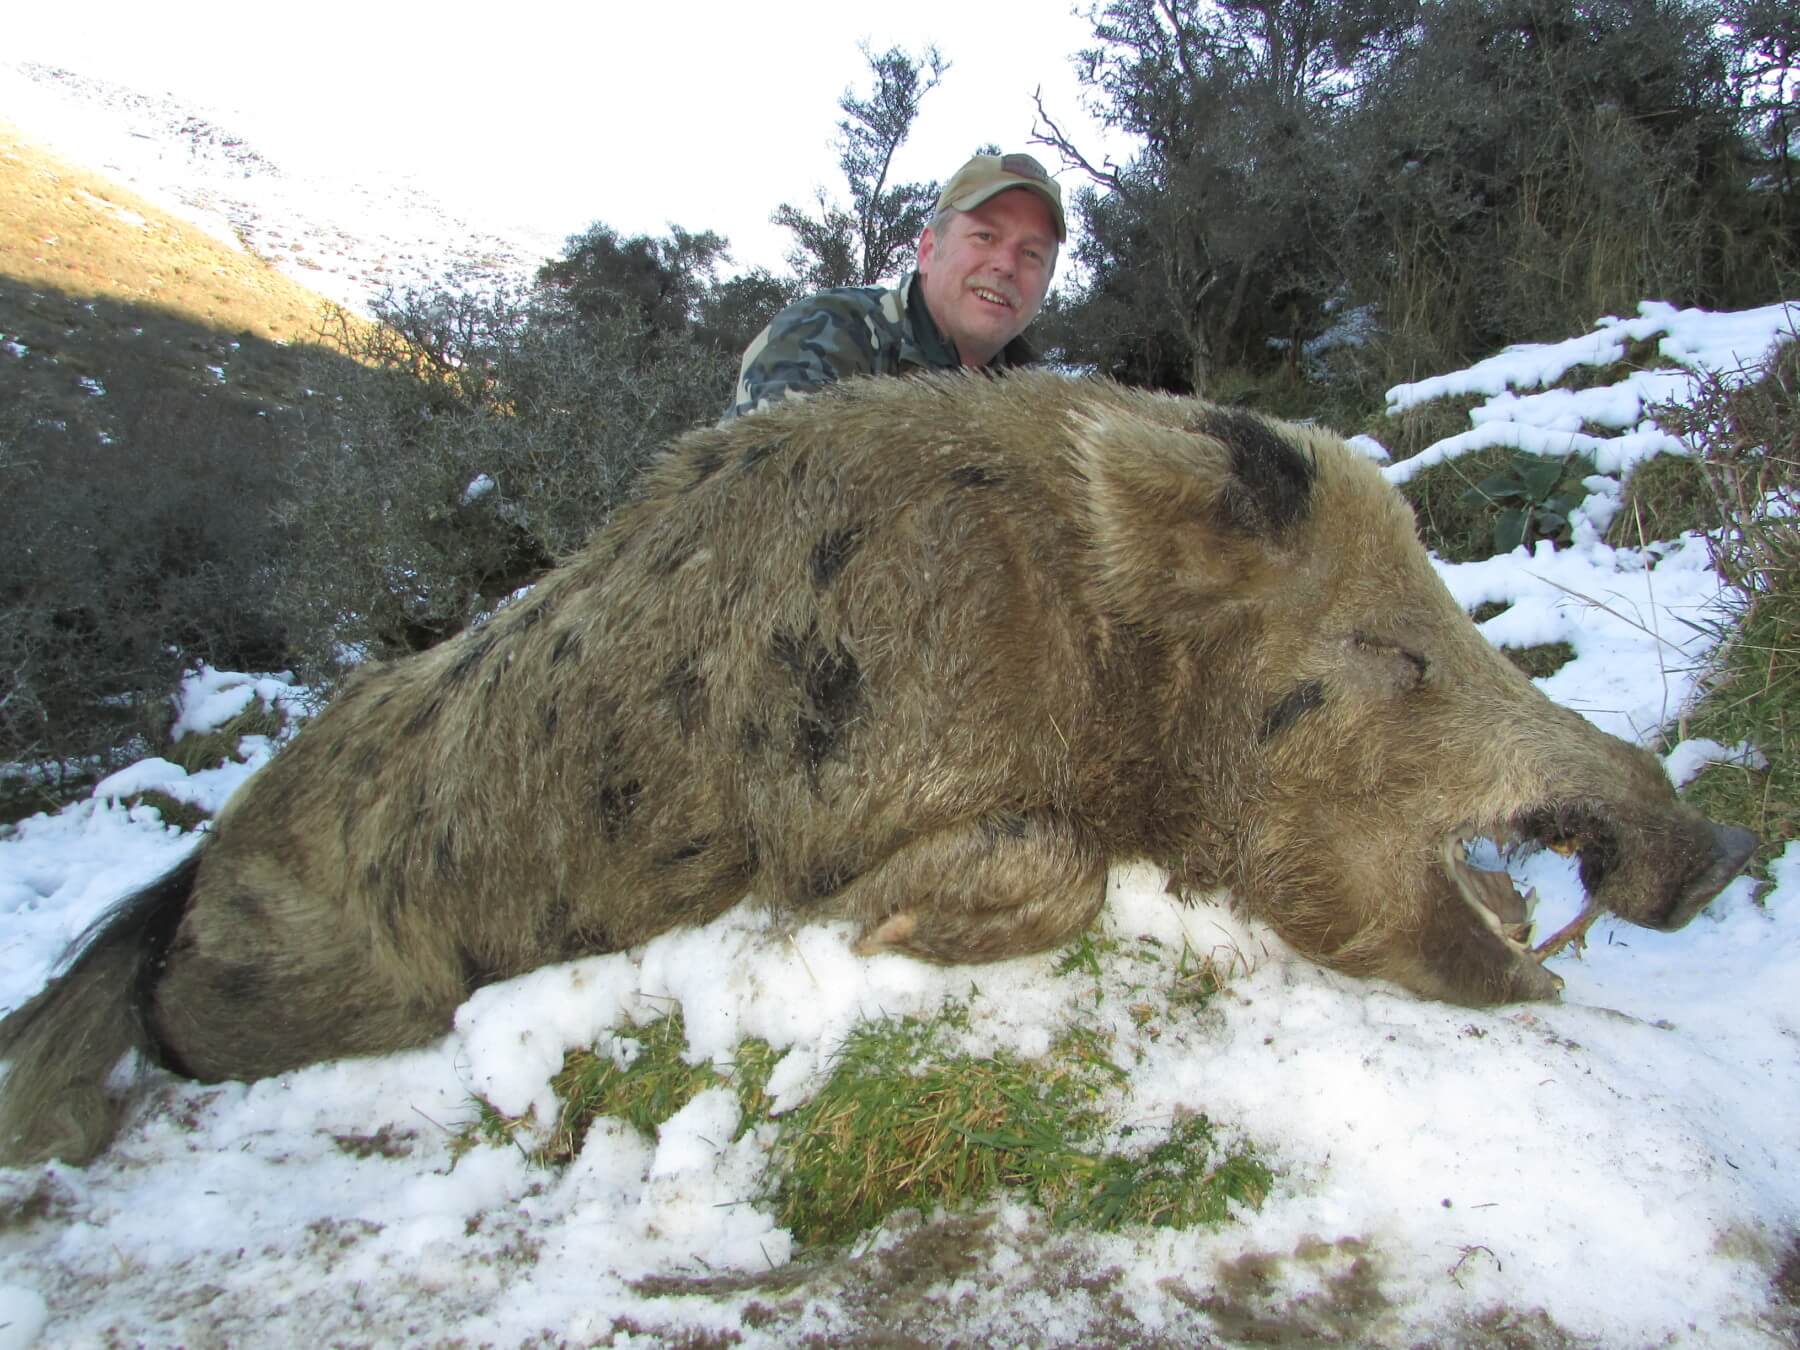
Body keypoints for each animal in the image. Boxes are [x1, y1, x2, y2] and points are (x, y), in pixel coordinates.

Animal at [0, 371, 1756, 1166]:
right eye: (1395, 647)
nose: (1722, 842)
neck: (1088, 656)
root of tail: (199, 863)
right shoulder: (871, 803)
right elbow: (1020, 865)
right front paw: (874, 938)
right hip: (304, 982)